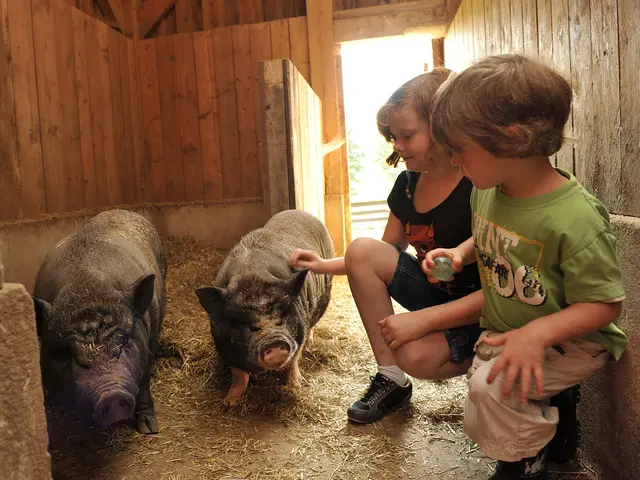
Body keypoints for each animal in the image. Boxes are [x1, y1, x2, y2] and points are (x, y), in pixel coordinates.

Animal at [32, 208, 169, 434]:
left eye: (123, 342)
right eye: (66, 353)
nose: (111, 395)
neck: (87, 289)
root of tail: (125, 211)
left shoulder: (148, 345)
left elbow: (143, 384)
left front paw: (148, 429)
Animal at [195, 209, 336, 404]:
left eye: (281, 318)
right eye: (248, 326)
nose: (275, 342)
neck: (250, 275)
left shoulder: (299, 330)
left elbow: (292, 363)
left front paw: (296, 387)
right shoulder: (223, 345)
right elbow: (238, 375)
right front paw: (229, 403)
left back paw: (309, 346)